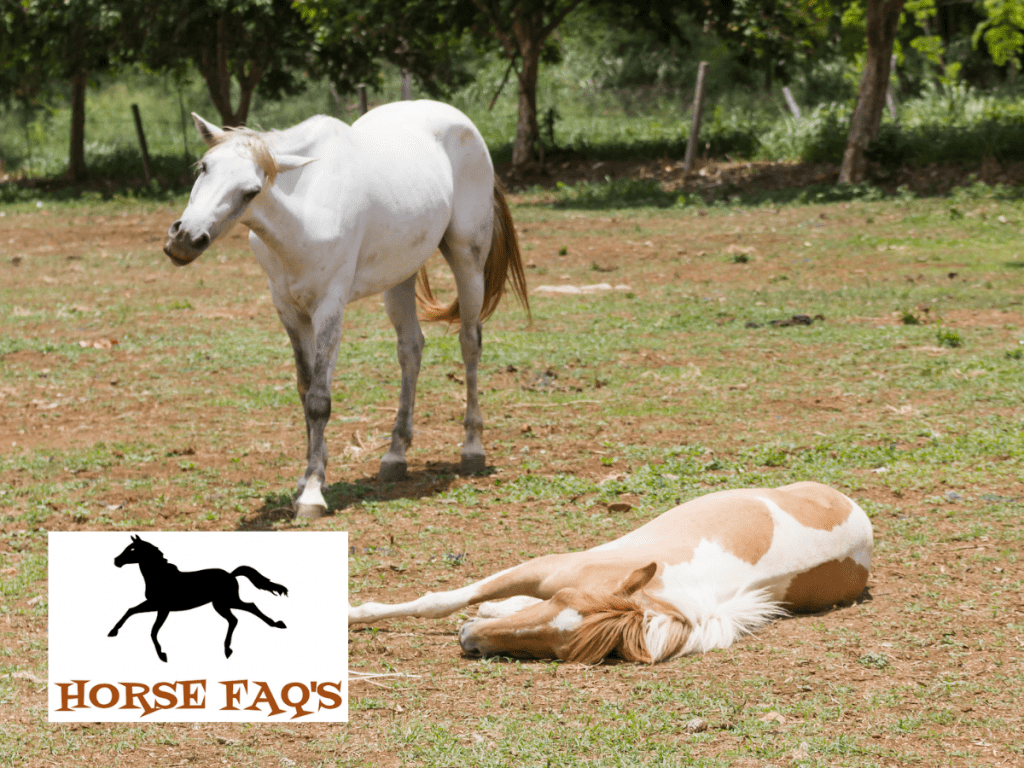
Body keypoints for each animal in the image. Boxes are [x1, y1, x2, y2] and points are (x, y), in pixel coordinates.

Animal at [108, 535, 288, 662]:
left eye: (132, 550)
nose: (116, 561)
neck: (160, 576)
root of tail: (231, 574)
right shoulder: (154, 605)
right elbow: (131, 611)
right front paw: (113, 631)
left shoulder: (163, 608)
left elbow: (152, 631)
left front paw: (162, 655)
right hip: (222, 604)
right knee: (239, 615)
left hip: (226, 602)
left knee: (247, 609)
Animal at [163, 101, 529, 520]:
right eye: (204, 167)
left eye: (251, 191)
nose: (185, 239)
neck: (305, 208)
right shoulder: (288, 310)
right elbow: (305, 388)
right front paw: (310, 476)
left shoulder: (329, 308)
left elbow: (319, 400)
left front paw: (312, 494)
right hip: (399, 276)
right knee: (411, 349)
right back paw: (395, 455)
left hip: (467, 259)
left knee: (469, 343)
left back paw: (472, 449)